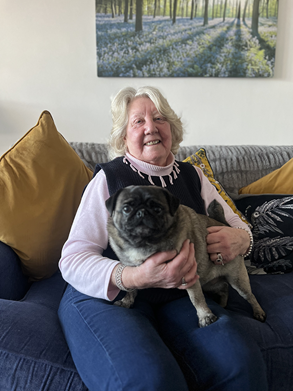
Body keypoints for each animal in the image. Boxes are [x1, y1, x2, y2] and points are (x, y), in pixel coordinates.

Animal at [105, 185, 264, 330]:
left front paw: (205, 317)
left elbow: (196, 299)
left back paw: (258, 312)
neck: (144, 243)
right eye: (126, 209)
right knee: (224, 288)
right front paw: (126, 301)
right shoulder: (132, 268)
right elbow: (131, 289)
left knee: (250, 296)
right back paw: (222, 303)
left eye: (157, 209)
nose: (142, 212)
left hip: (238, 281)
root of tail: (225, 225)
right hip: (209, 284)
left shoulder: (187, 274)